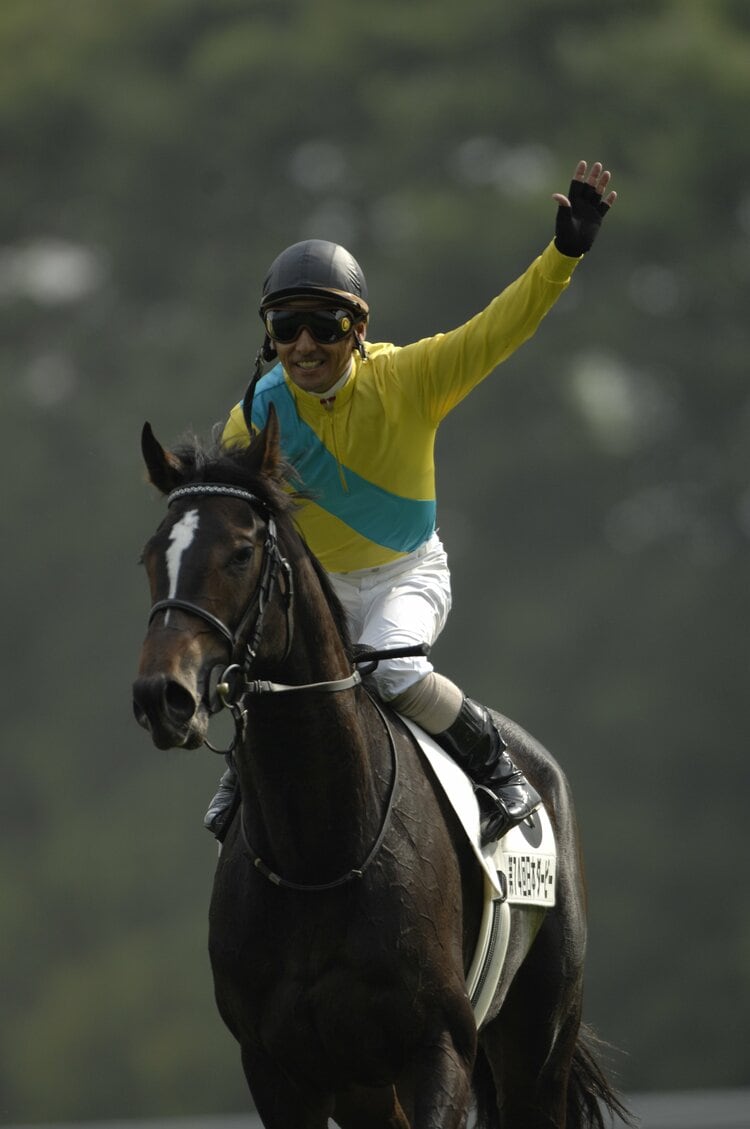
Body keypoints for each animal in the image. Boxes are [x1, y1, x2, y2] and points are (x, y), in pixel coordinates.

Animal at [132, 408, 630, 1129]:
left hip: (538, 1045)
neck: (319, 851)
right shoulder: (279, 1069)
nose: (161, 696)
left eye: (241, 552)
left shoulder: (439, 1048)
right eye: (151, 556)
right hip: (368, 1088)